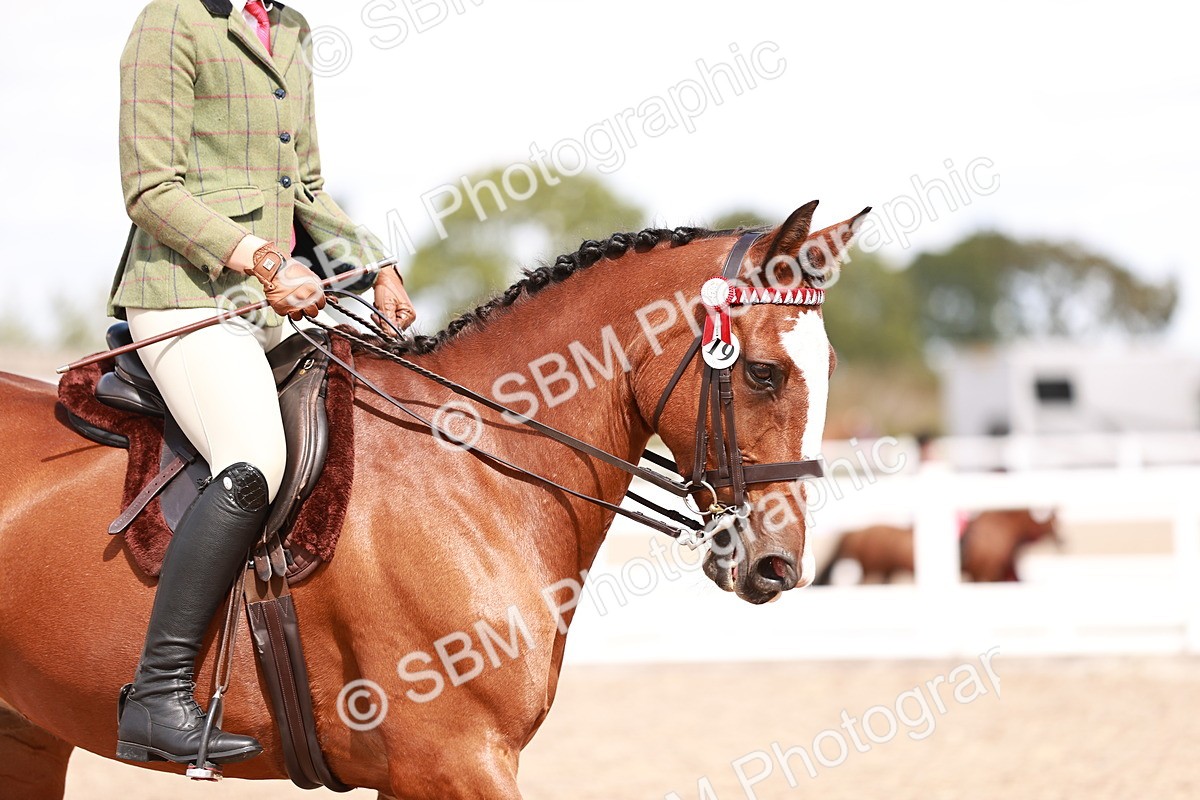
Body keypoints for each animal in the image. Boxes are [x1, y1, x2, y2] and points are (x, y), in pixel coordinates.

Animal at [0, 201, 866, 799]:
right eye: (762, 373)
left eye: (827, 364)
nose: (778, 565)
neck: (474, 471)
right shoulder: (454, 760)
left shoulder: (421, 770)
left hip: (28, 736)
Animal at [813, 509, 1059, 585]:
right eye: (1053, 522)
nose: (1062, 540)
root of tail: (857, 532)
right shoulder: (985, 573)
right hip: (874, 571)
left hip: (884, 571)